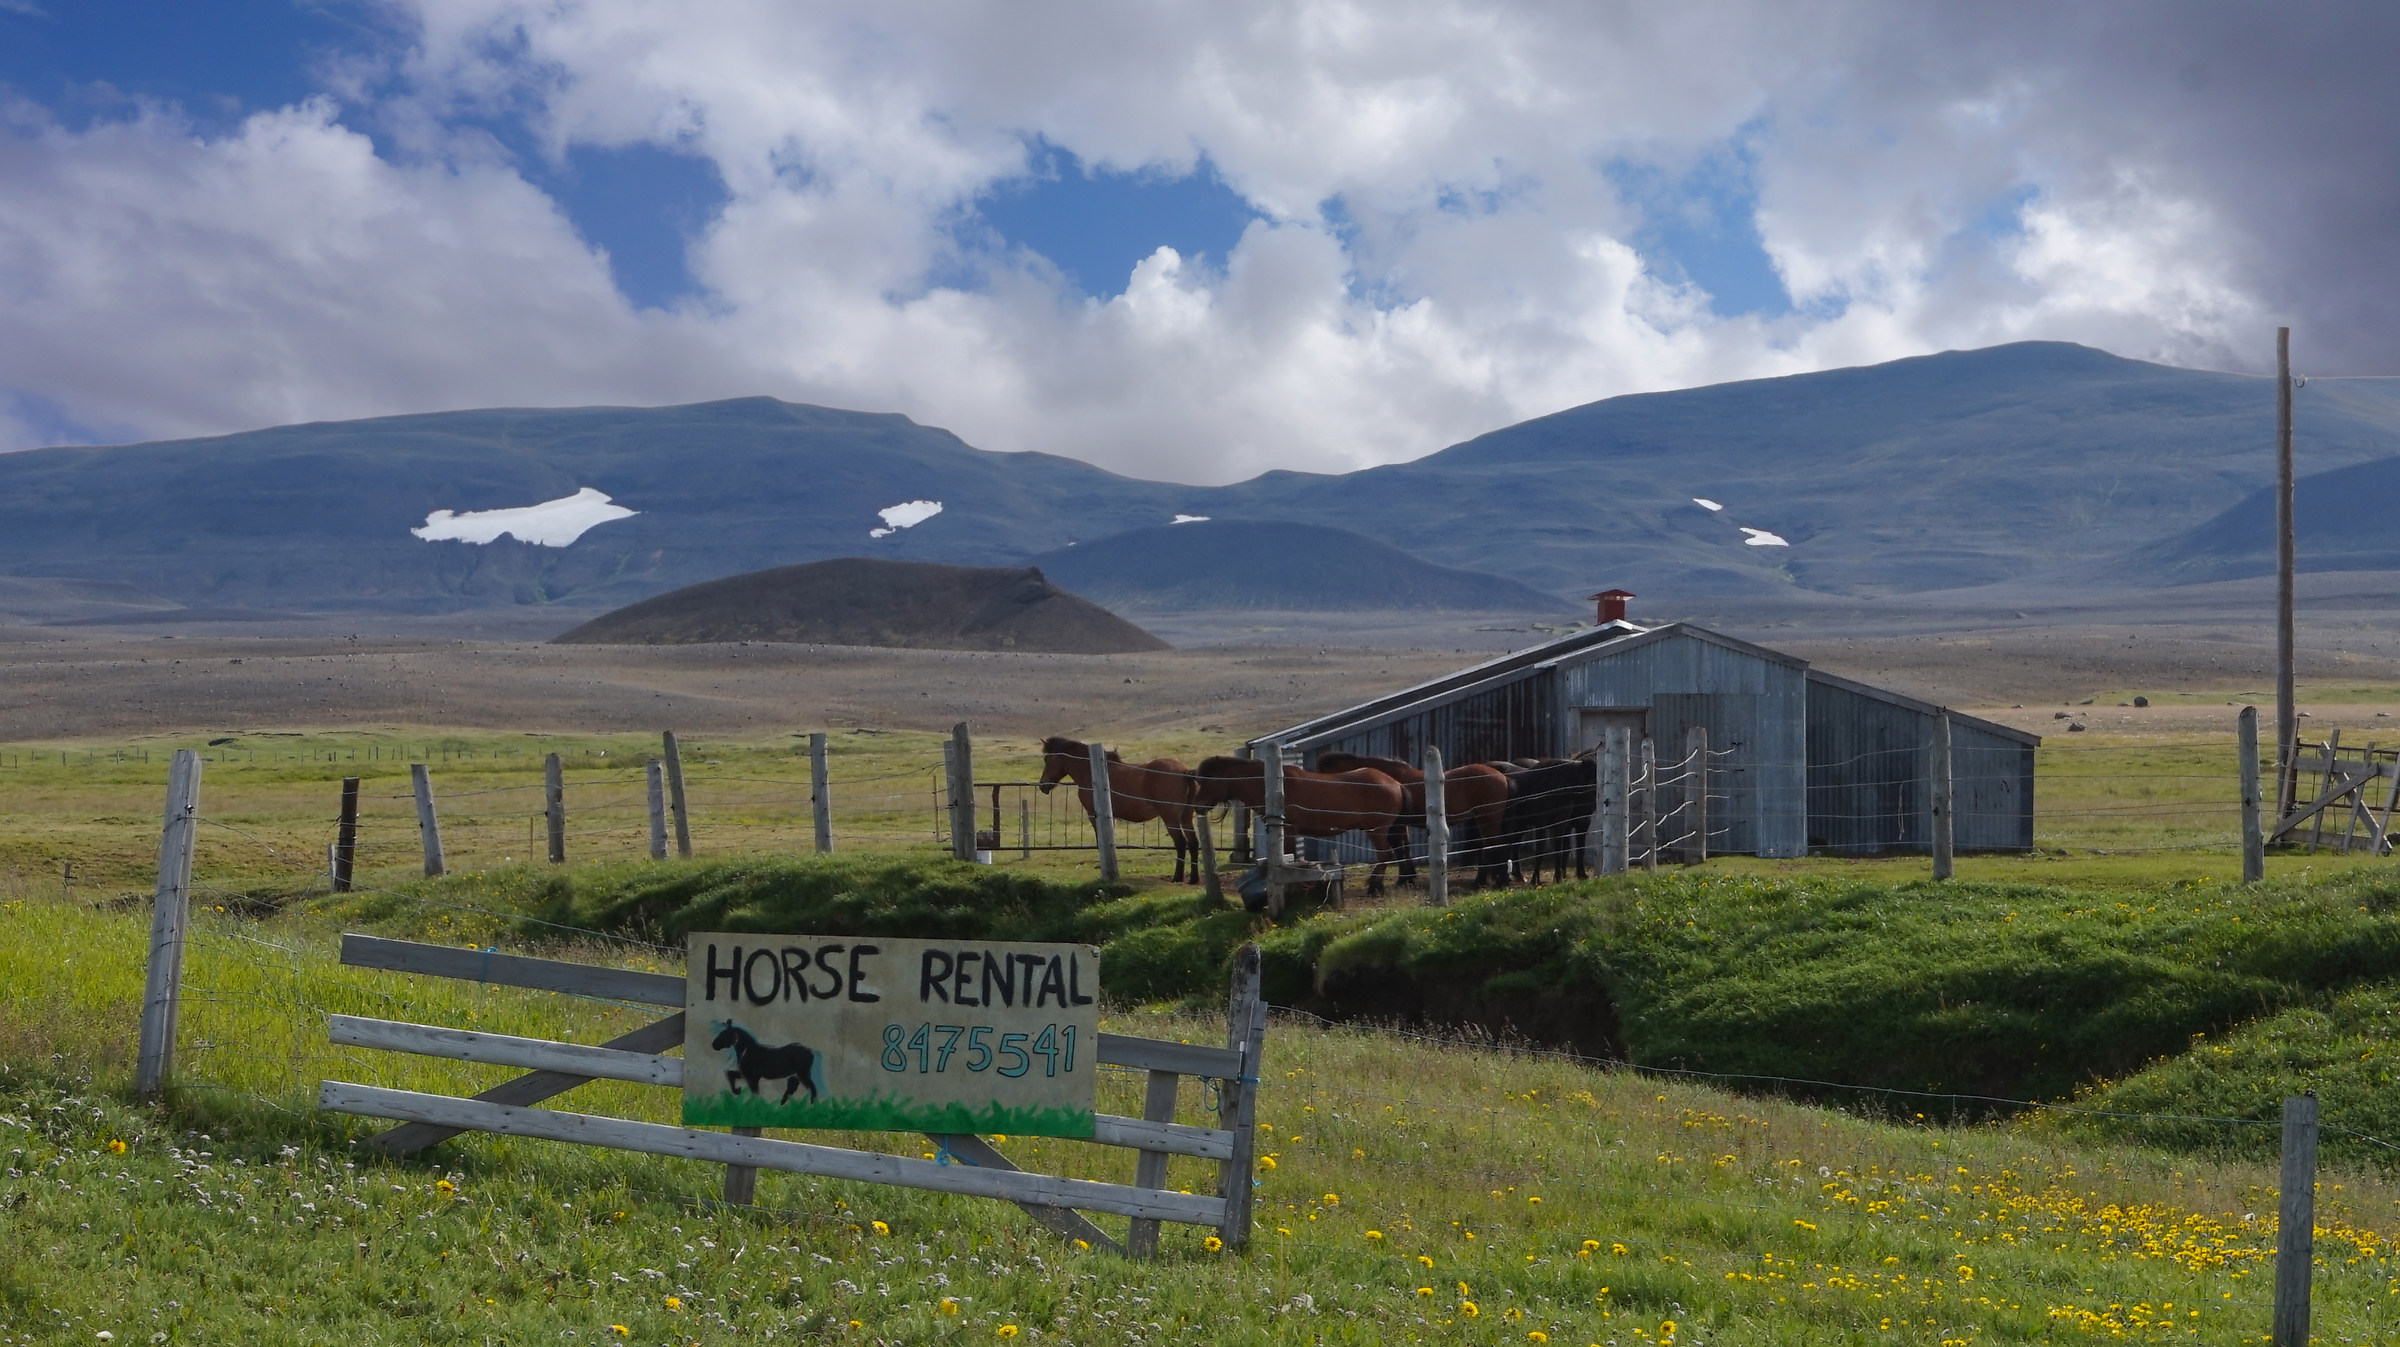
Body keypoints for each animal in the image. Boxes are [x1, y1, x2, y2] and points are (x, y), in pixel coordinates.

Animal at [1038, 735, 1200, 882]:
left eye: (1046, 759)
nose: (1042, 786)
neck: (1090, 772)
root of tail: (1184, 771)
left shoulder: (1093, 815)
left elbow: (1100, 841)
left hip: (1170, 818)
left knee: (1181, 843)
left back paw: (1177, 877)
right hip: (1186, 818)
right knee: (1193, 843)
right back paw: (1193, 878)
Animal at [1188, 756, 1406, 897]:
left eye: (1208, 780)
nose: (1196, 806)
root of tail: (1394, 783)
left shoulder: (1290, 832)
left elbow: (1289, 860)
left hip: (1376, 831)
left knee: (1385, 855)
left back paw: (1374, 888)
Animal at [1314, 752, 1513, 889]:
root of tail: (1501, 775)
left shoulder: (1396, 825)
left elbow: (1399, 849)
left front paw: (1403, 879)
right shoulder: (1402, 824)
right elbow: (1404, 848)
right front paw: (1407, 878)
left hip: (1487, 818)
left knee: (1492, 845)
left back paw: (1483, 881)